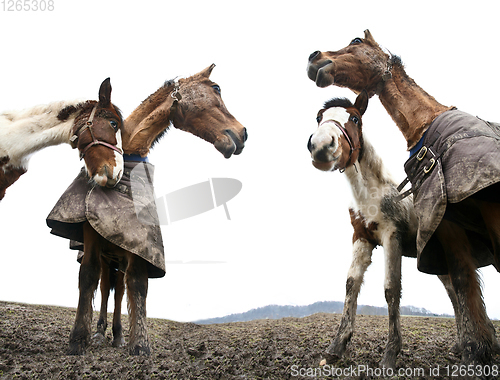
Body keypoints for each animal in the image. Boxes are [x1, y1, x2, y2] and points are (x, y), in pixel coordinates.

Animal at [47, 63, 247, 356]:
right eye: (217, 88)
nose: (242, 133)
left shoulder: (139, 243)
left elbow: (138, 284)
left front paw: (139, 344)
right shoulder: (93, 236)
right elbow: (89, 276)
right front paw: (78, 339)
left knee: (119, 289)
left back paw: (118, 336)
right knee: (105, 287)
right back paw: (100, 333)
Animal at [306, 28, 500, 366]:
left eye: (354, 118)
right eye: (319, 117)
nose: (320, 146)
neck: (372, 193)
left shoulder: (391, 236)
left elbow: (390, 289)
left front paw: (390, 355)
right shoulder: (361, 237)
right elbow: (350, 285)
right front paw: (335, 348)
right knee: (454, 290)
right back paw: (466, 346)